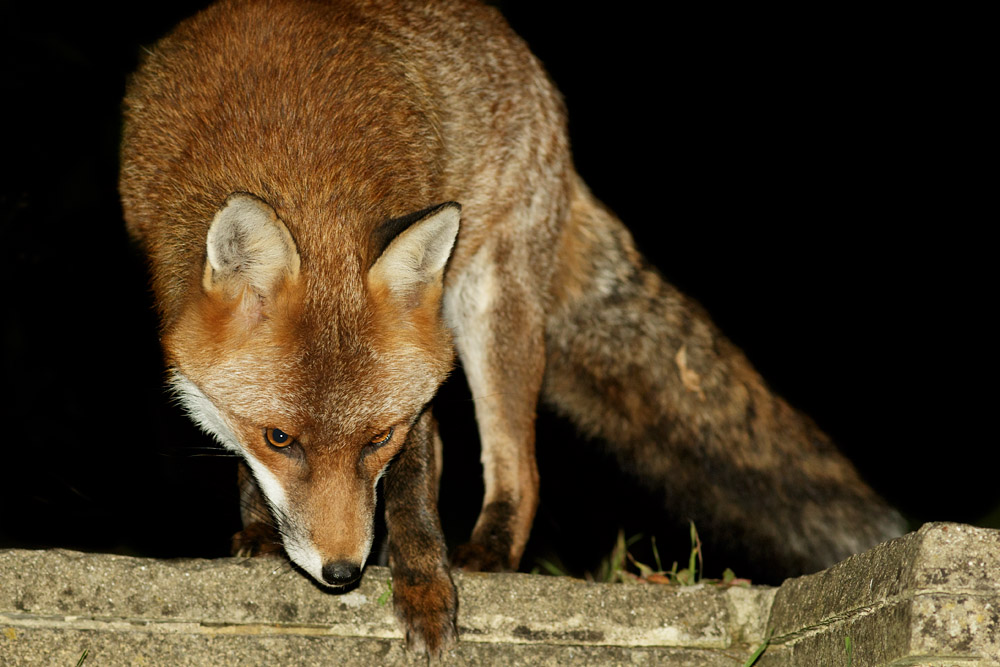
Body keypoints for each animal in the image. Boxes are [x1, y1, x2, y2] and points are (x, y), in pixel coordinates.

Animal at [119, 0, 907, 655]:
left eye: (378, 438)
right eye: (280, 438)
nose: (342, 573)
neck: (296, 160)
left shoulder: (417, 391)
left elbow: (413, 496)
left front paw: (426, 590)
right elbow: (246, 462)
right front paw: (258, 532)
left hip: (488, 308)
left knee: (518, 468)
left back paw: (490, 553)